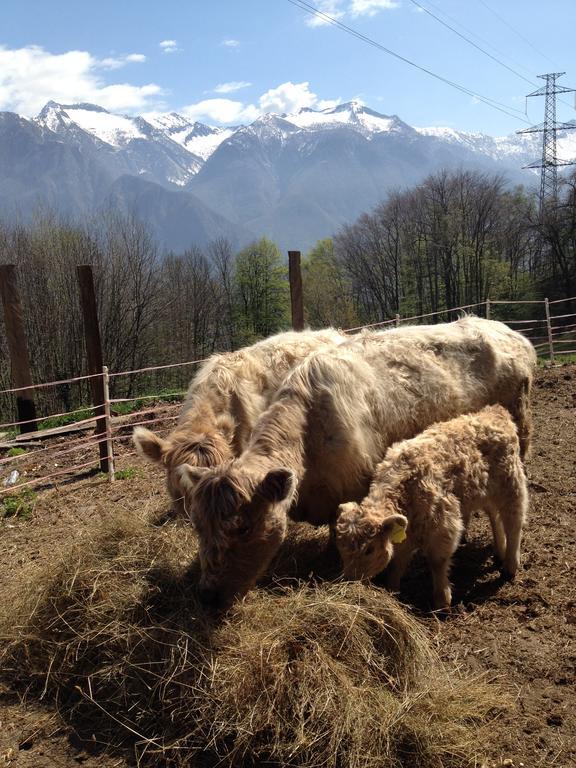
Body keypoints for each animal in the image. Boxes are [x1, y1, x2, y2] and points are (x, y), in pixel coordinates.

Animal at [179, 316, 536, 608]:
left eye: (243, 526)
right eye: (197, 525)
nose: (207, 595)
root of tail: (507, 330)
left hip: (516, 446)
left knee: (507, 509)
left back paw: (505, 556)